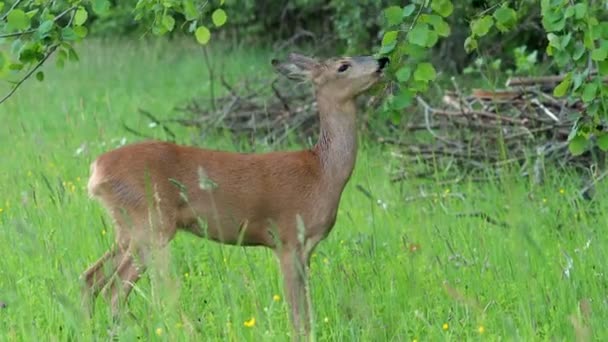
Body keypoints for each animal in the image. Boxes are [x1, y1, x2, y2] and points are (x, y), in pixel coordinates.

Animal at [81, 52, 390, 338]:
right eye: (343, 65)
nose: (382, 60)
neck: (323, 173)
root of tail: (97, 169)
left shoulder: (307, 248)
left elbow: (306, 311)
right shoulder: (287, 239)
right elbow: (296, 312)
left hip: (127, 228)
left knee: (90, 277)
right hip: (151, 224)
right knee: (115, 289)